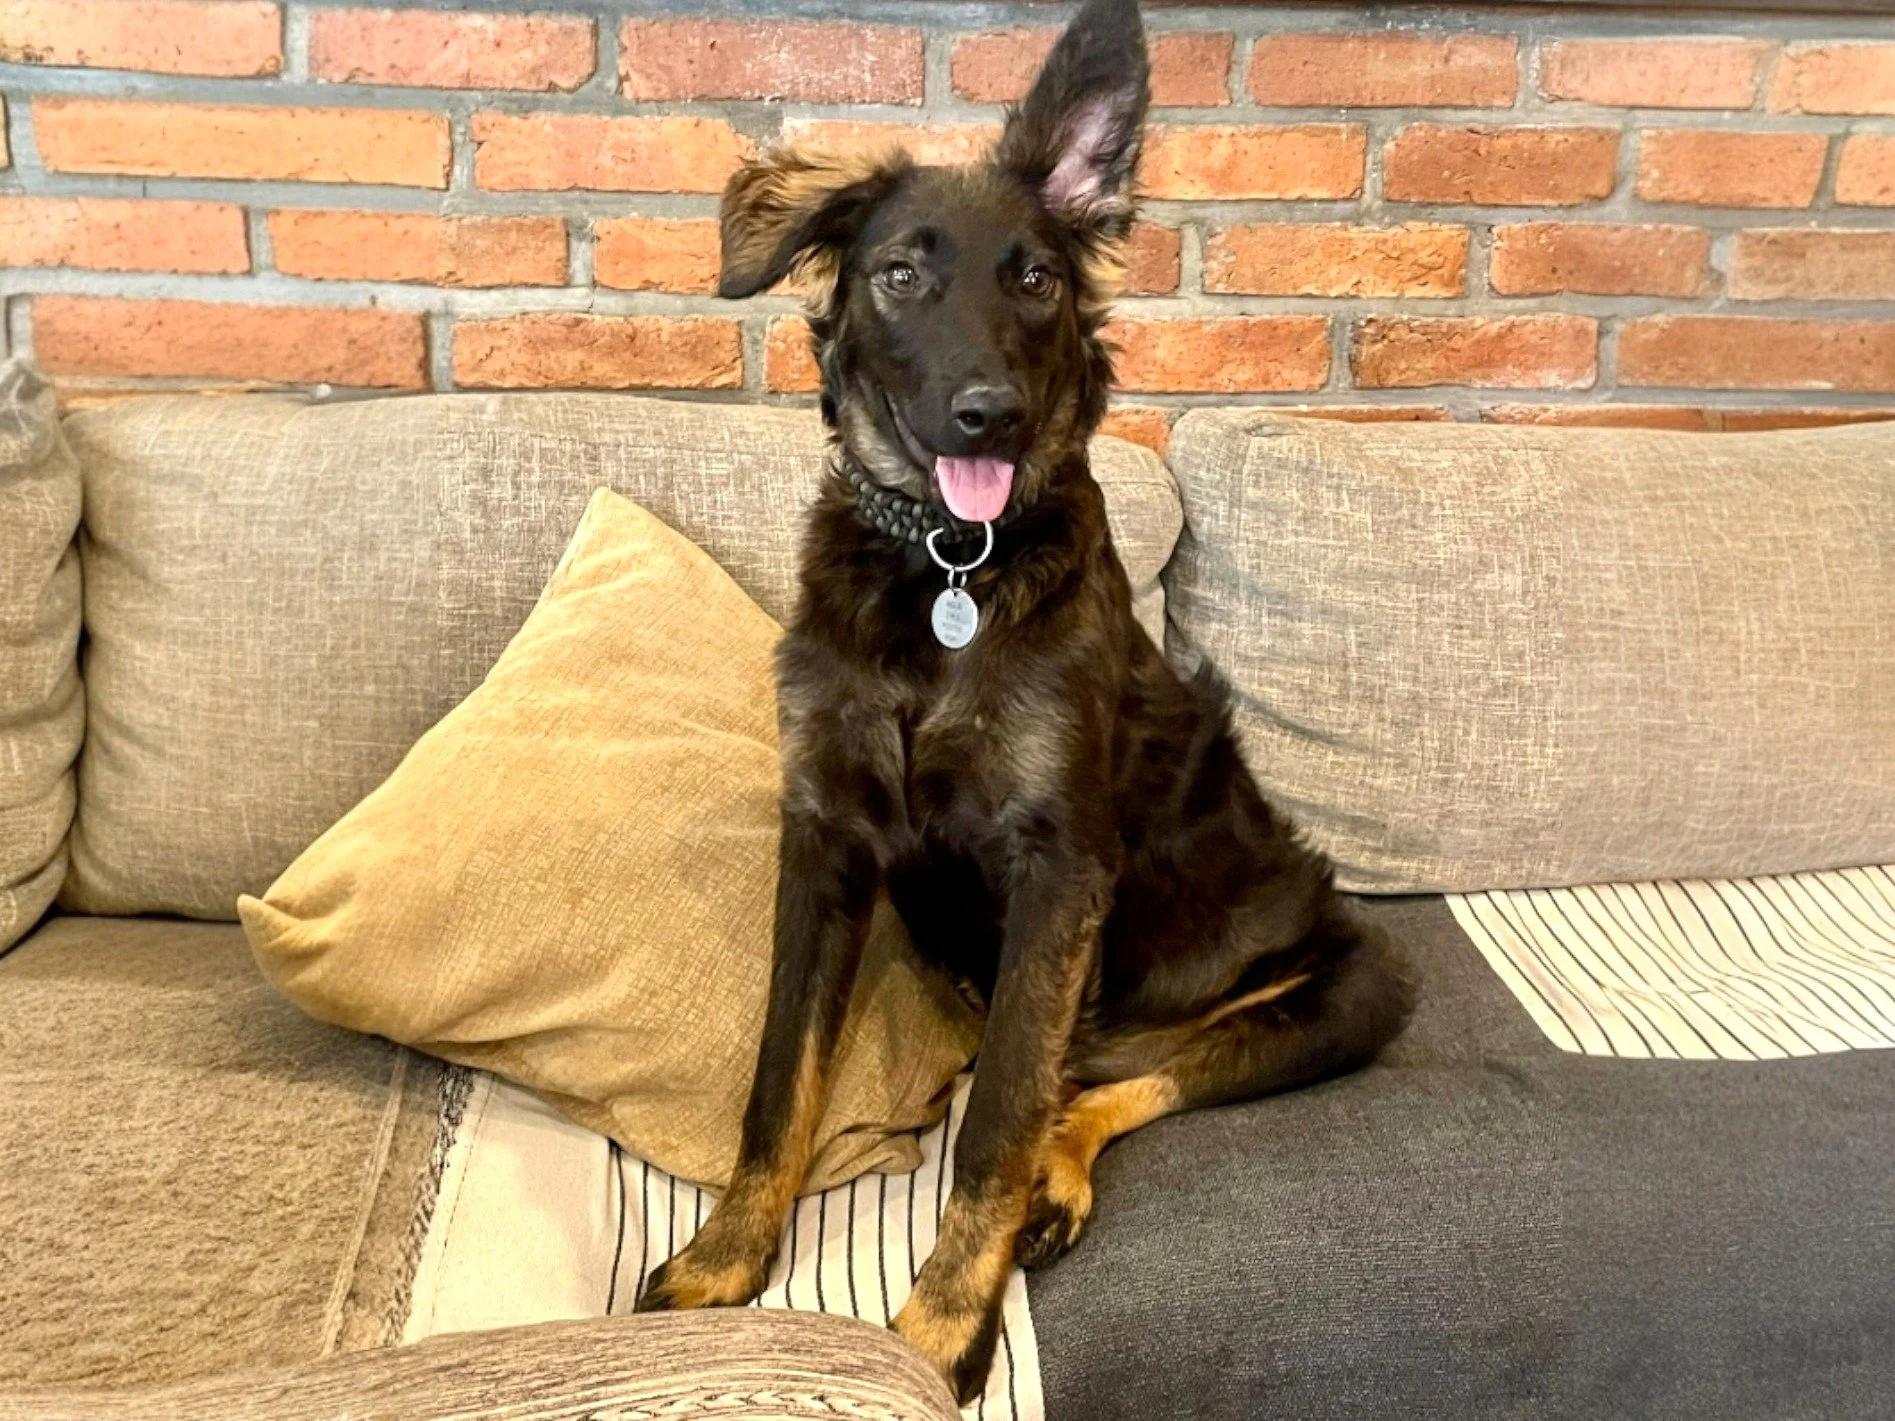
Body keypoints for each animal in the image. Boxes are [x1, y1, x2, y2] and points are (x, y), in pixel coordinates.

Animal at [635, 0, 1414, 1400]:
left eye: (1034, 280)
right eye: (899, 275)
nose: (985, 415)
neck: (946, 568)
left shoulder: (1057, 867)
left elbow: (991, 1122)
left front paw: (945, 1321)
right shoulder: (823, 836)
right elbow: (780, 1077)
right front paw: (727, 1256)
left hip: (1351, 985)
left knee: (1102, 1084)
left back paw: (1057, 1173)